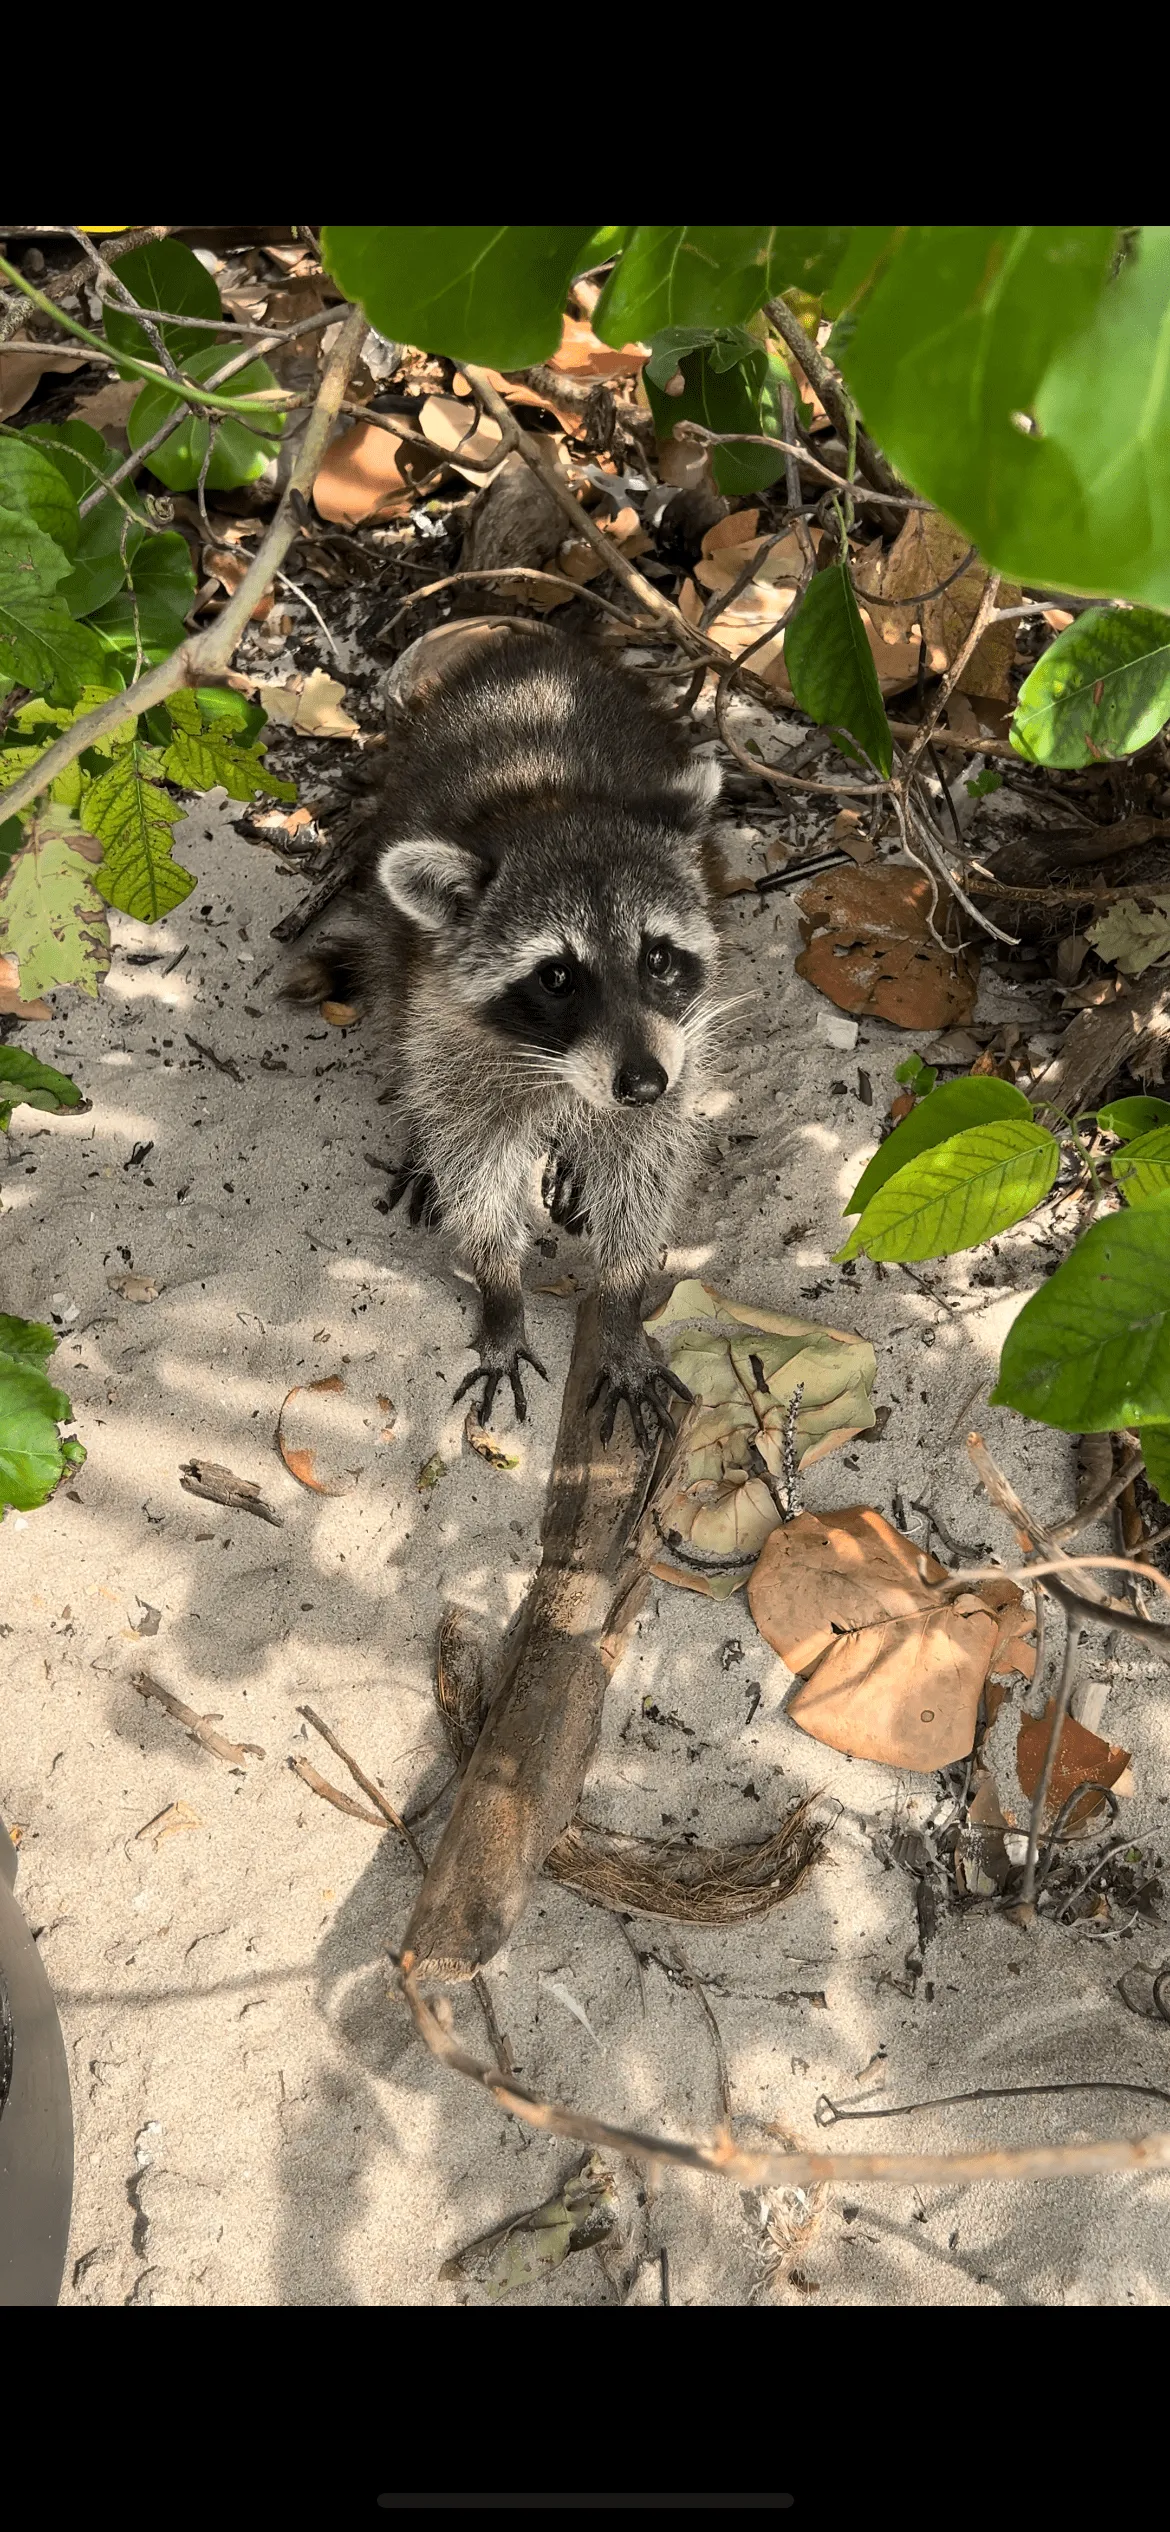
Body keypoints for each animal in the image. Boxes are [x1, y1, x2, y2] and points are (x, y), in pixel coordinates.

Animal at [289, 633, 725, 1444]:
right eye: (557, 977)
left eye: (657, 957)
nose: (642, 1084)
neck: (549, 801)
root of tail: (536, 643)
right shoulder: (452, 1020)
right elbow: (474, 1163)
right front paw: (499, 1291)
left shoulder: (673, 1051)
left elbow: (644, 1171)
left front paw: (620, 1305)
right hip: (402, 923)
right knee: (398, 1004)